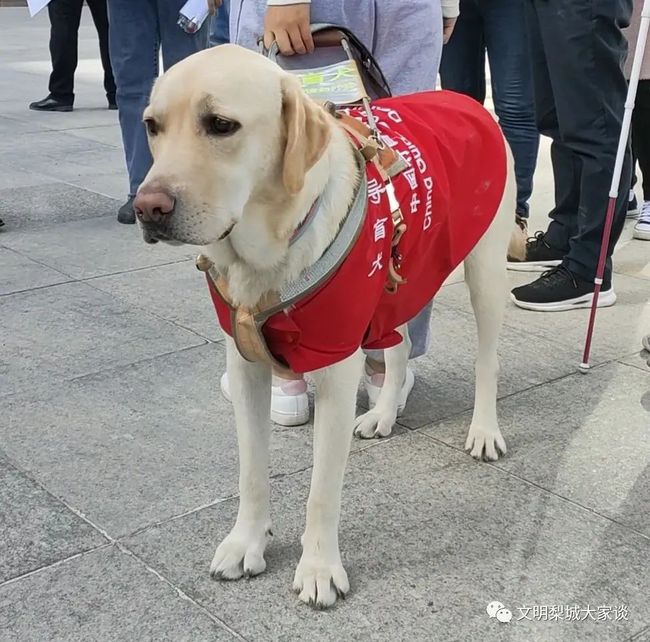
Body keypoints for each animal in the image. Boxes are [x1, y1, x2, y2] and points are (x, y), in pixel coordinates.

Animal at [134, 43, 512, 604]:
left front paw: (318, 569)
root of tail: (463, 98)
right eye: (152, 126)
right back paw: (384, 413)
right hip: (397, 278)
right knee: (398, 346)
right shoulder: (245, 365)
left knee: (487, 359)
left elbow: (321, 491)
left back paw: (484, 430)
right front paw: (247, 541)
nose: (147, 208)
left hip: (483, 266)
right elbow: (251, 471)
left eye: (221, 124)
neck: (267, 257)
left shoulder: (337, 365)